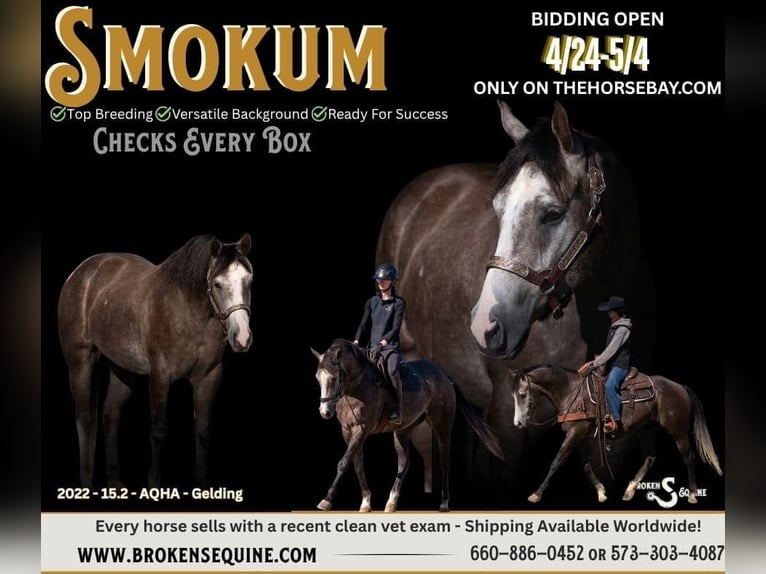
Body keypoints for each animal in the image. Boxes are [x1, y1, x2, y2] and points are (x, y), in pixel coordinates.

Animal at [57, 233, 253, 488]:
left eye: (249, 280)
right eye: (218, 283)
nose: (242, 337)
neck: (188, 311)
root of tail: (79, 273)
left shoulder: (209, 376)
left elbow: (202, 430)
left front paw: (201, 485)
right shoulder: (160, 375)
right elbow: (158, 430)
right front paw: (154, 484)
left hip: (122, 370)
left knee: (110, 416)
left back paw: (115, 484)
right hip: (79, 362)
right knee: (85, 418)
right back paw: (86, 482)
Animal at [310, 339, 504, 512]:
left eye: (334, 377)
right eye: (318, 378)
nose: (325, 412)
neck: (355, 387)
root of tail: (444, 376)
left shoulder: (362, 429)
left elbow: (344, 462)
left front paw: (326, 500)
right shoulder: (347, 431)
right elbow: (357, 464)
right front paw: (365, 502)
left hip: (442, 427)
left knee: (444, 461)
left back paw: (444, 503)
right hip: (403, 430)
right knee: (404, 462)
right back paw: (391, 502)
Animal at [510, 365, 723, 504]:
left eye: (522, 394)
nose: (517, 424)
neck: (572, 393)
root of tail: (680, 387)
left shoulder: (574, 434)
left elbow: (556, 461)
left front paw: (536, 494)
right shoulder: (579, 437)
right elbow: (586, 466)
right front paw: (601, 492)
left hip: (679, 433)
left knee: (688, 458)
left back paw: (693, 494)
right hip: (647, 430)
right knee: (650, 458)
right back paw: (629, 490)